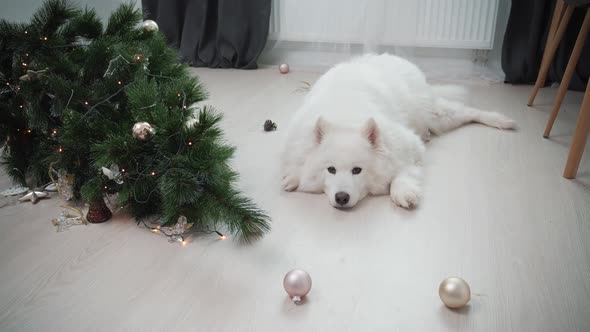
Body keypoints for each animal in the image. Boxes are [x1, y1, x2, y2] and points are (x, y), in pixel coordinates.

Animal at [282, 54, 520, 210]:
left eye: (357, 170)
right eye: (330, 170)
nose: (341, 197)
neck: (346, 118)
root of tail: (394, 57)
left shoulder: (410, 147)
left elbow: (403, 173)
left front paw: (404, 193)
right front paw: (293, 177)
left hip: (435, 116)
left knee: (468, 111)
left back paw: (502, 121)